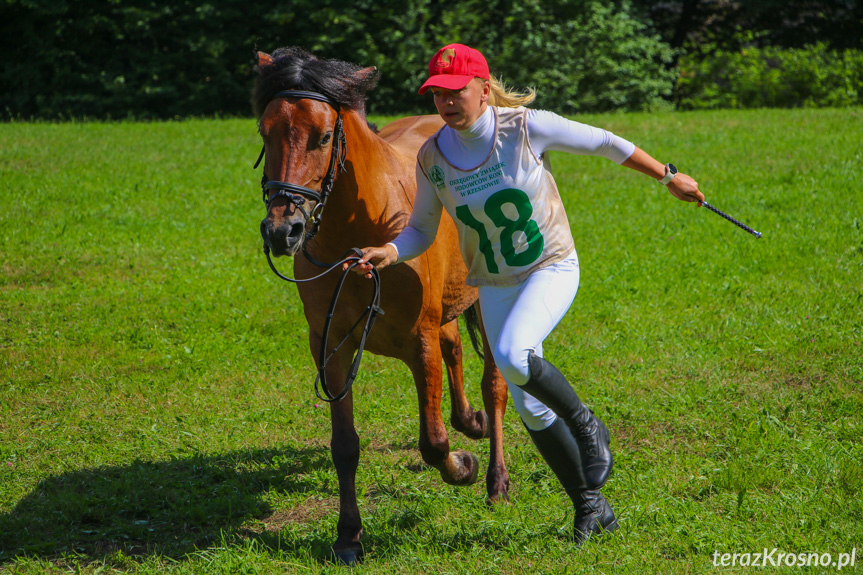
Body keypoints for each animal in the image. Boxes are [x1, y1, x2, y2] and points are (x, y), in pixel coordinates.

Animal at [253, 47, 510, 564]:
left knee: (493, 384)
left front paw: (465, 465)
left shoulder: (419, 342)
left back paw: (495, 478)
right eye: (265, 132)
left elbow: (434, 442)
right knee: (456, 350)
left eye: (323, 136)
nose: (282, 230)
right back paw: (470, 421)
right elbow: (344, 446)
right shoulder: (329, 346)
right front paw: (348, 534)